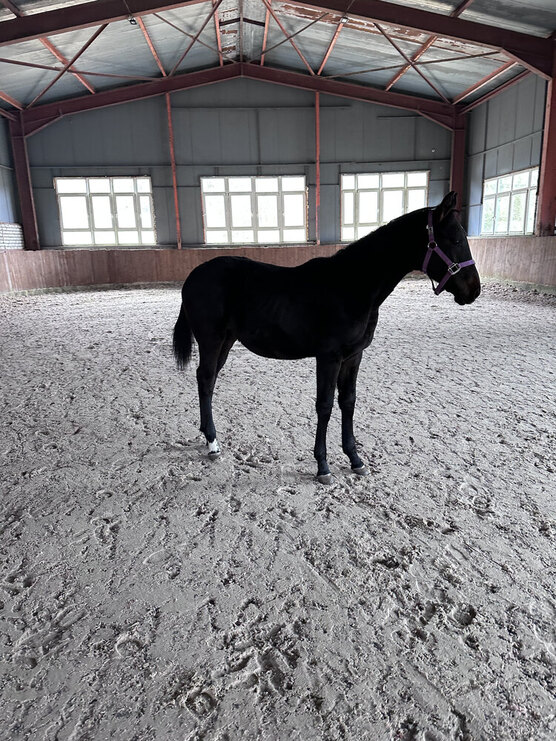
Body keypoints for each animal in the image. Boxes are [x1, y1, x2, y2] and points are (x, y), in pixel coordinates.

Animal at [173, 191, 481, 483]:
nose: (474, 290)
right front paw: (323, 466)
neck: (351, 286)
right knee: (206, 378)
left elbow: (348, 401)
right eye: (454, 239)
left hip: (226, 341)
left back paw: (208, 435)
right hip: (211, 340)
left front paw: (355, 460)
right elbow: (325, 405)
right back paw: (213, 443)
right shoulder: (329, 357)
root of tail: (194, 276)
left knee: (207, 379)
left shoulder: (353, 356)